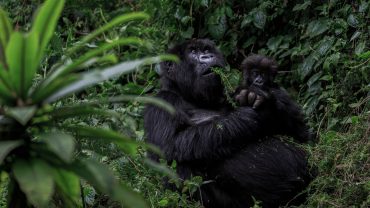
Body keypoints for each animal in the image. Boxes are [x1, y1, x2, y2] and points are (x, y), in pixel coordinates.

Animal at [144, 39, 312, 208]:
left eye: (206, 50)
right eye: (193, 52)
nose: (207, 56)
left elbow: (303, 135)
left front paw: (263, 99)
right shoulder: (161, 102)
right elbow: (168, 146)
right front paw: (257, 113)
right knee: (178, 162)